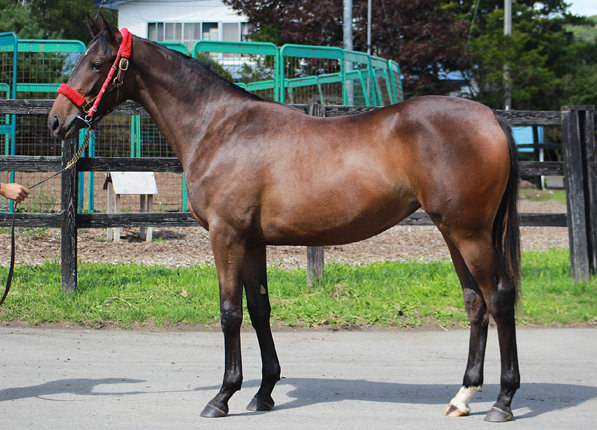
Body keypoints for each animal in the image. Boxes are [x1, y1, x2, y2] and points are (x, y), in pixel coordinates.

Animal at [49, 15, 520, 422]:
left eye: (96, 63)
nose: (57, 121)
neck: (219, 128)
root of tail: (490, 117)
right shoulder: (252, 241)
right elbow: (260, 309)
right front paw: (263, 392)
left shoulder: (226, 238)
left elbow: (229, 312)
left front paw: (222, 396)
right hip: (454, 233)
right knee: (475, 301)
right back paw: (463, 397)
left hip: (470, 234)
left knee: (498, 297)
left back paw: (502, 401)